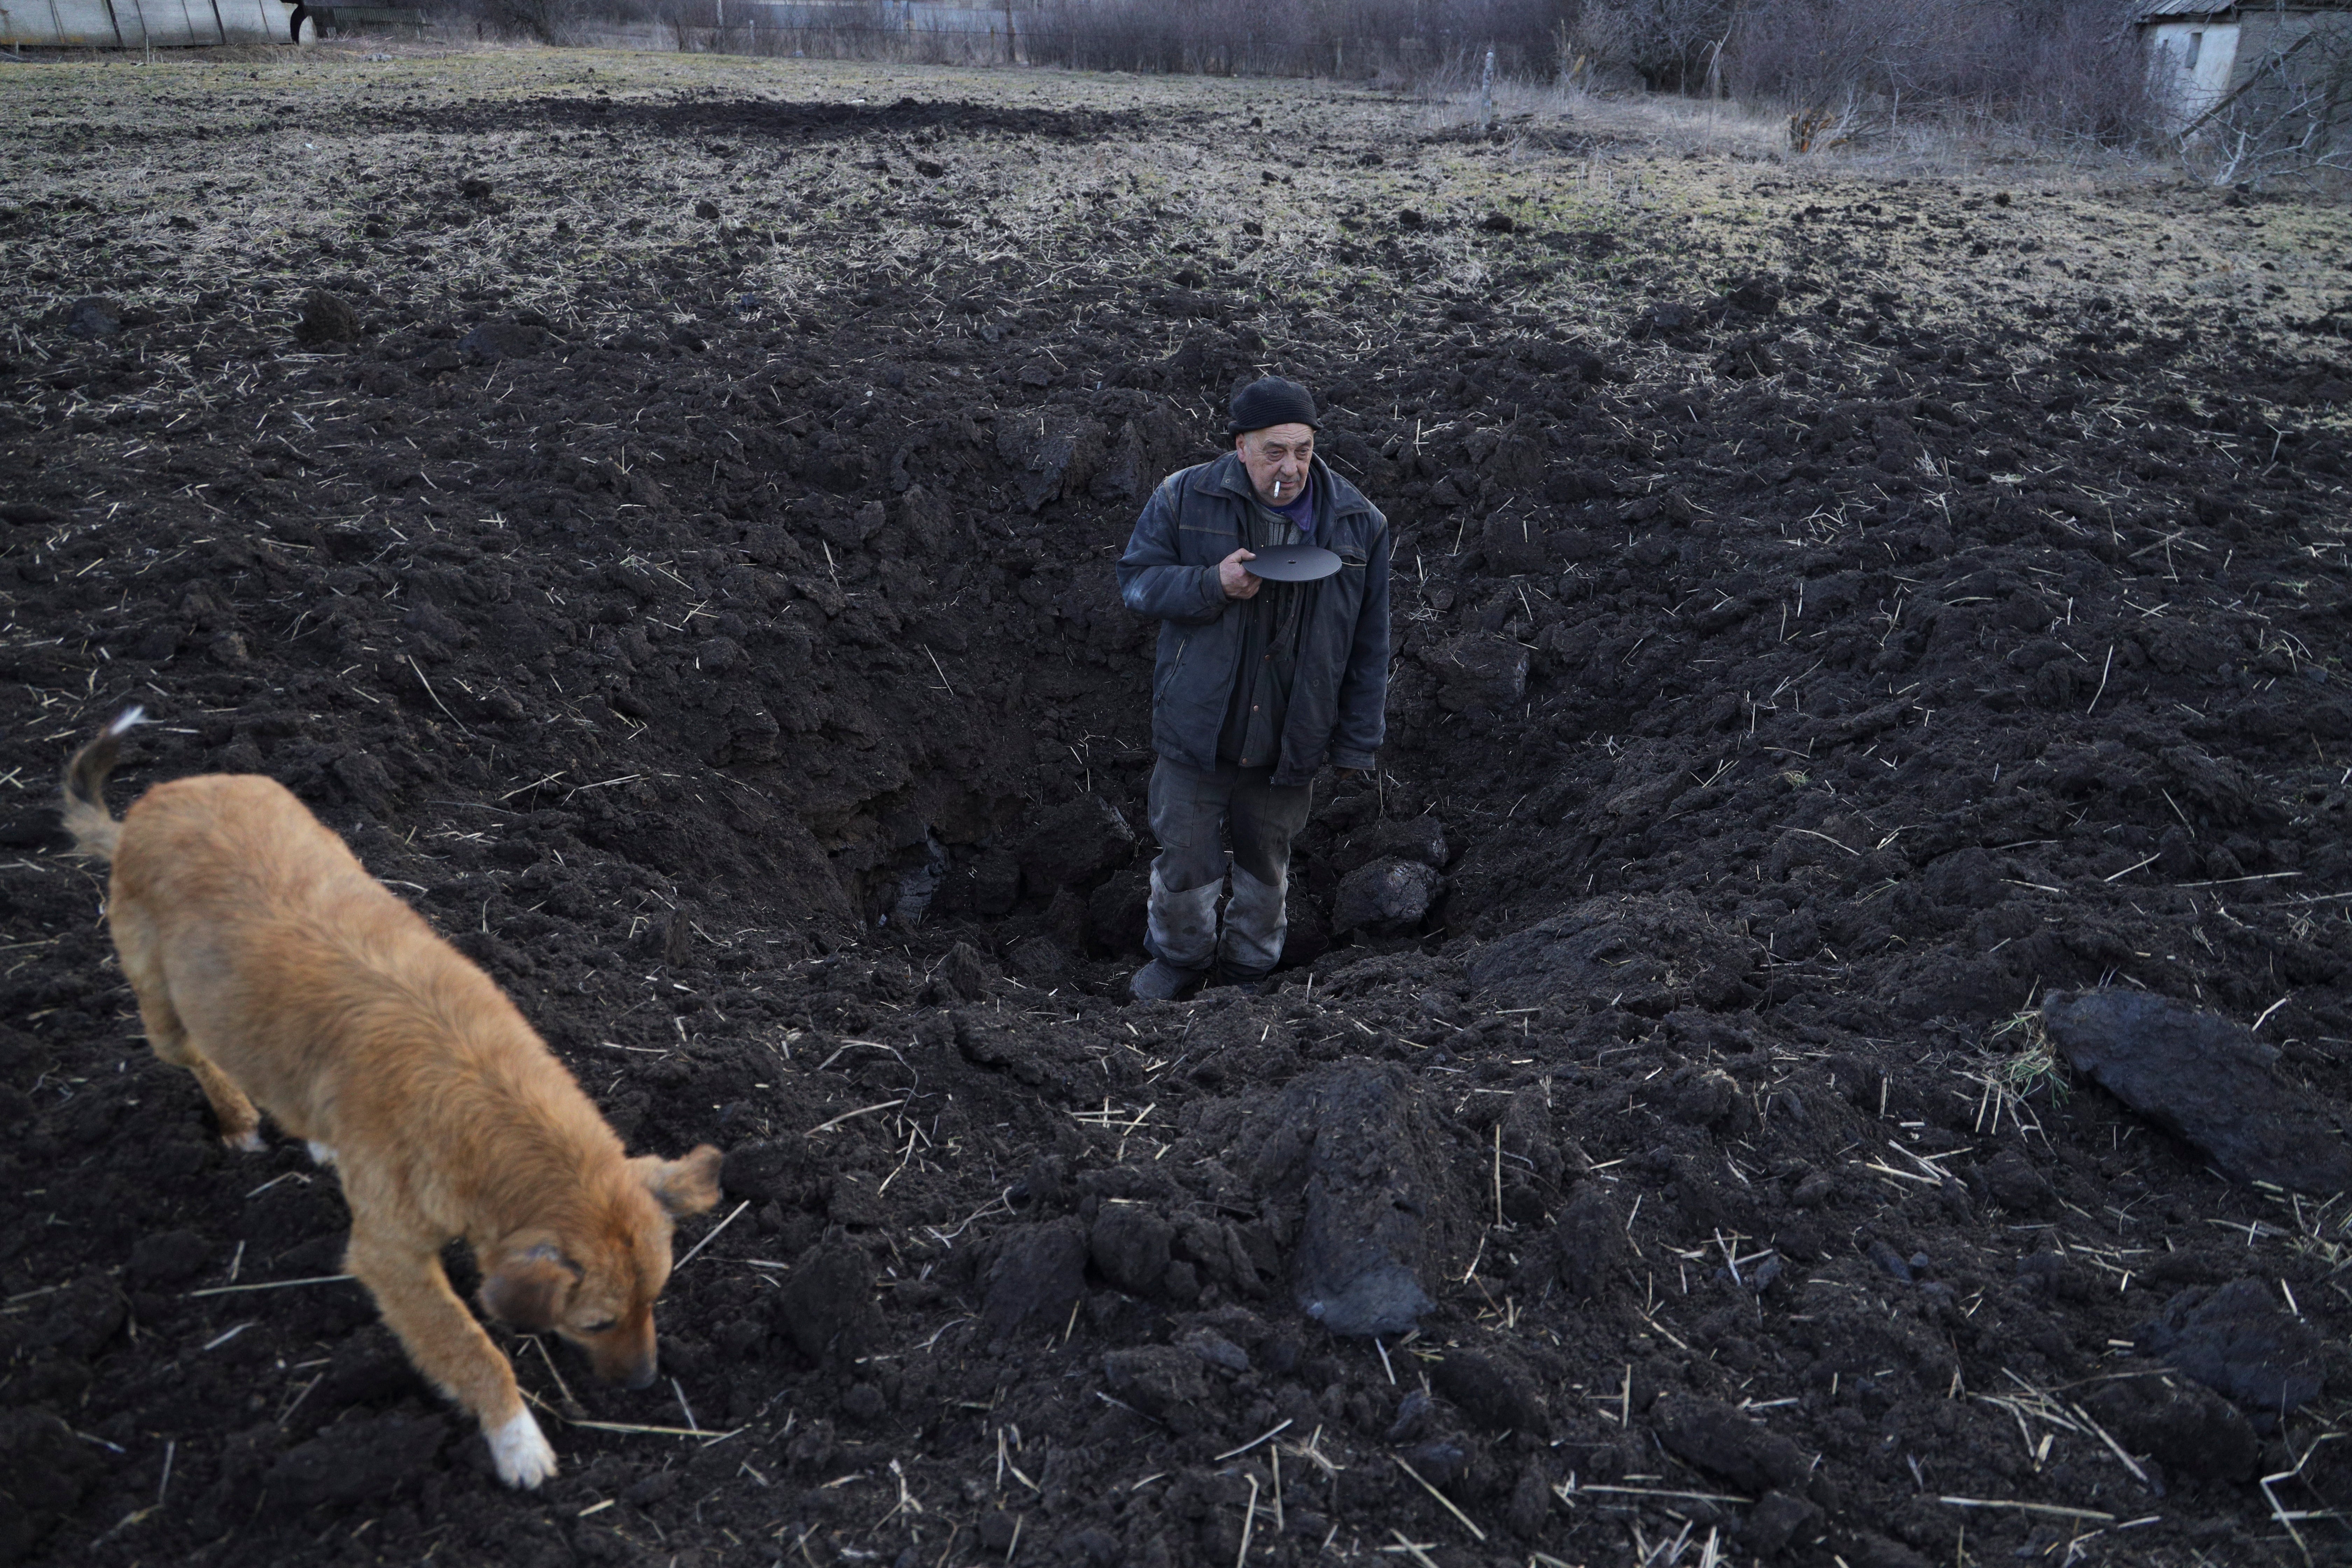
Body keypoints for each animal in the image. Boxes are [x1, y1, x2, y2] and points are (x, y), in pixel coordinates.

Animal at [66, 719, 724, 1495]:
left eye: (657, 1298)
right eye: (596, 1323)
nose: (647, 1384)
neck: (485, 1090)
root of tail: (151, 805)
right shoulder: (389, 1258)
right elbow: (470, 1346)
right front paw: (516, 1439)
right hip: (164, 1010)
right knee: (201, 1057)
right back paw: (238, 1121)